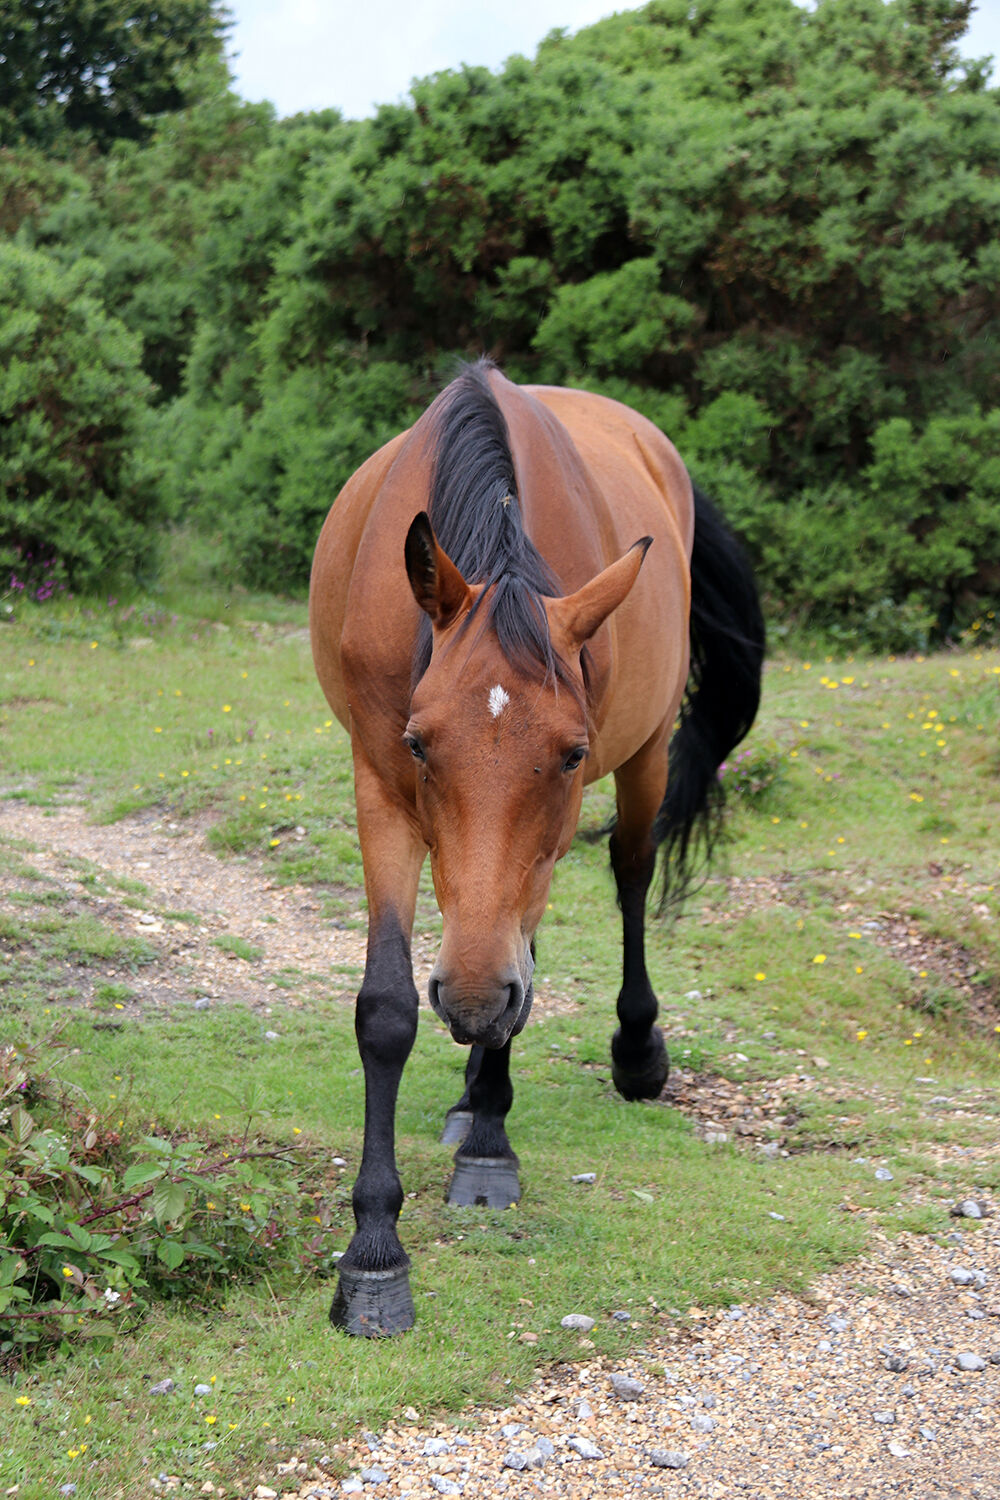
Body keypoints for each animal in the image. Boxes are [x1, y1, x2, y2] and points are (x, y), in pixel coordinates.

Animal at [309, 358, 764, 1336]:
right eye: (419, 745)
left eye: (569, 754)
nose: (471, 996)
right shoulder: (378, 786)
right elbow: (387, 1009)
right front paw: (374, 1255)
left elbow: (528, 966)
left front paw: (488, 1146)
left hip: (649, 752)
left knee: (626, 877)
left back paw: (623, 1054)